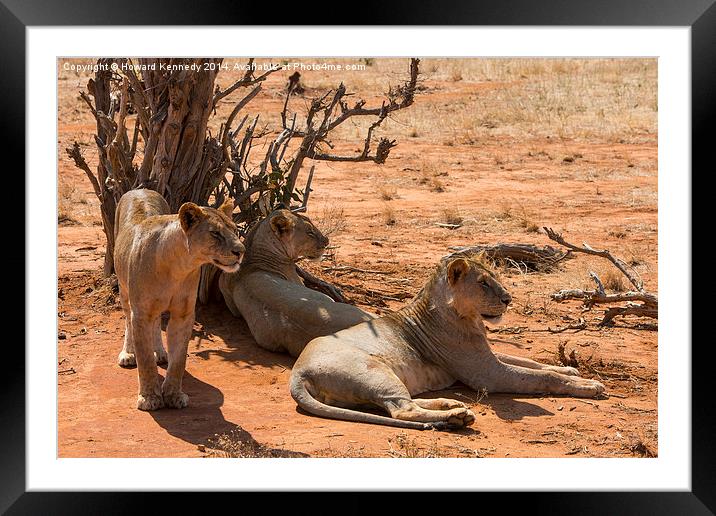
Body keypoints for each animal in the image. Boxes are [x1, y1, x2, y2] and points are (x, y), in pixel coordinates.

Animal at [113, 189, 245, 412]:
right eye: (215, 233)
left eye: (235, 230)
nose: (241, 251)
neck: (179, 266)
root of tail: (140, 189)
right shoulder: (141, 313)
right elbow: (145, 359)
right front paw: (149, 397)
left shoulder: (183, 315)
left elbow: (179, 360)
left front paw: (174, 395)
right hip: (124, 289)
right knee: (128, 320)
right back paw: (128, 354)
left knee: (157, 323)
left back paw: (160, 353)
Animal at [290, 256, 604, 430]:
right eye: (483, 283)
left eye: (495, 279)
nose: (508, 299)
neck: (471, 320)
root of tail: (298, 372)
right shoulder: (487, 374)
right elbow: (542, 377)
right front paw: (590, 385)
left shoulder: (488, 355)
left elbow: (532, 362)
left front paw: (572, 370)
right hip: (374, 370)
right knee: (402, 409)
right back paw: (457, 417)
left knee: (399, 402)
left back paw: (450, 405)